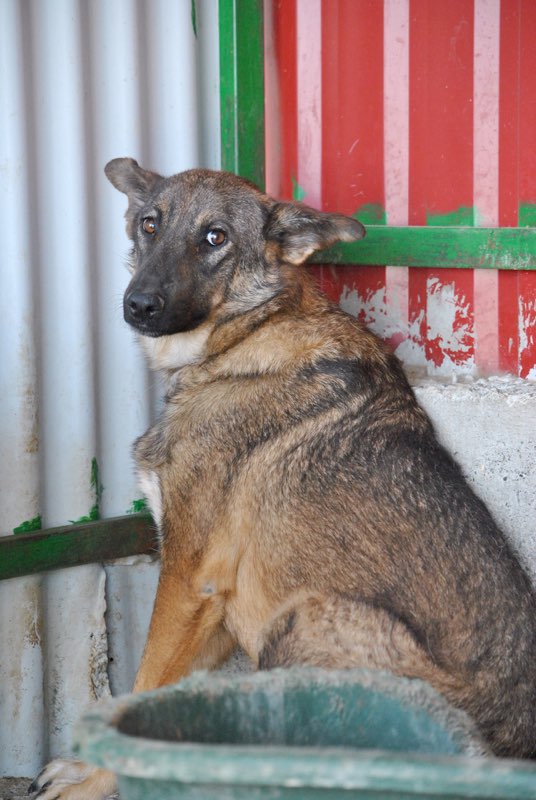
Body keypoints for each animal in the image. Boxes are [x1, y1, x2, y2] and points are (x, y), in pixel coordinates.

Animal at [32, 159, 536, 796]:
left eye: (215, 237)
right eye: (149, 224)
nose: (138, 304)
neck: (241, 340)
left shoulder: (189, 576)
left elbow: (143, 685)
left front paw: (99, 779)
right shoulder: (215, 602)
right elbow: (156, 695)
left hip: (301, 621)